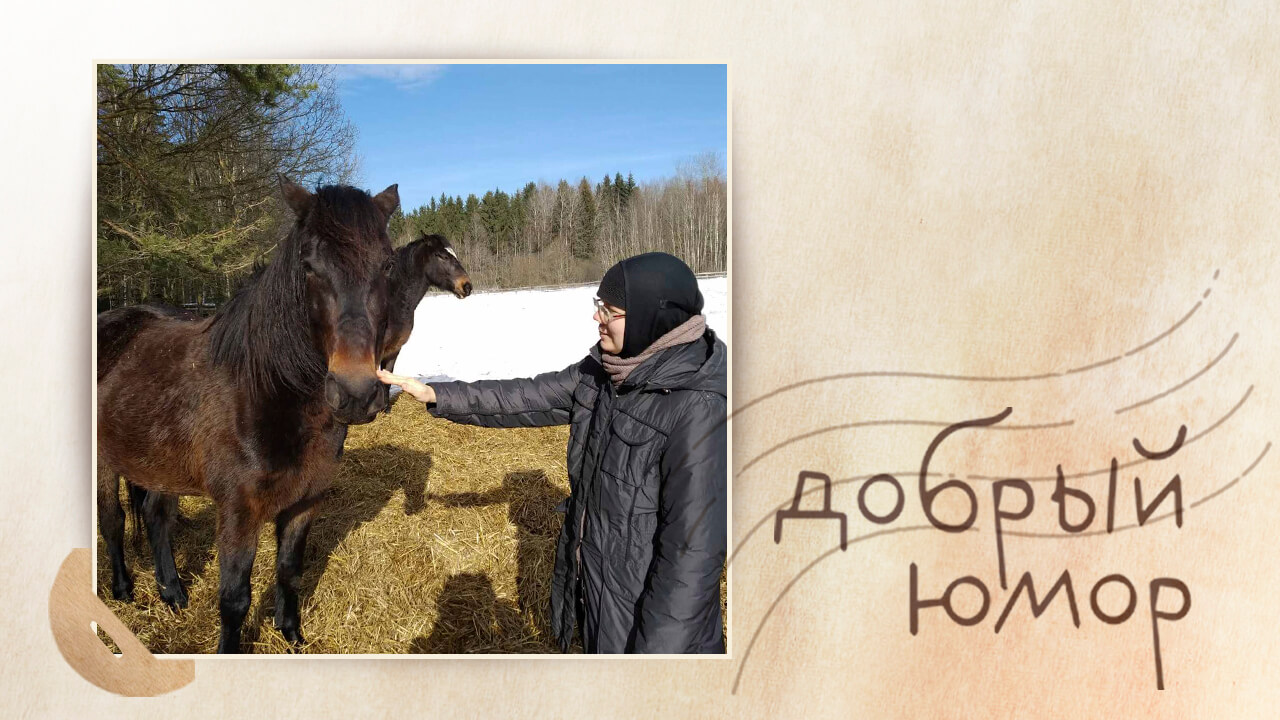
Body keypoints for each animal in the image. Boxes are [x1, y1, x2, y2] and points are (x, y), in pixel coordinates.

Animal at [97, 175, 399, 650]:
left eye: (387, 265)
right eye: (308, 266)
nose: (355, 392)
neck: (269, 391)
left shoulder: (306, 501)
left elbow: (289, 573)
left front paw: (291, 634)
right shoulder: (239, 511)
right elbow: (235, 597)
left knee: (156, 518)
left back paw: (173, 593)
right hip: (104, 462)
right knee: (113, 521)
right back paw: (124, 589)